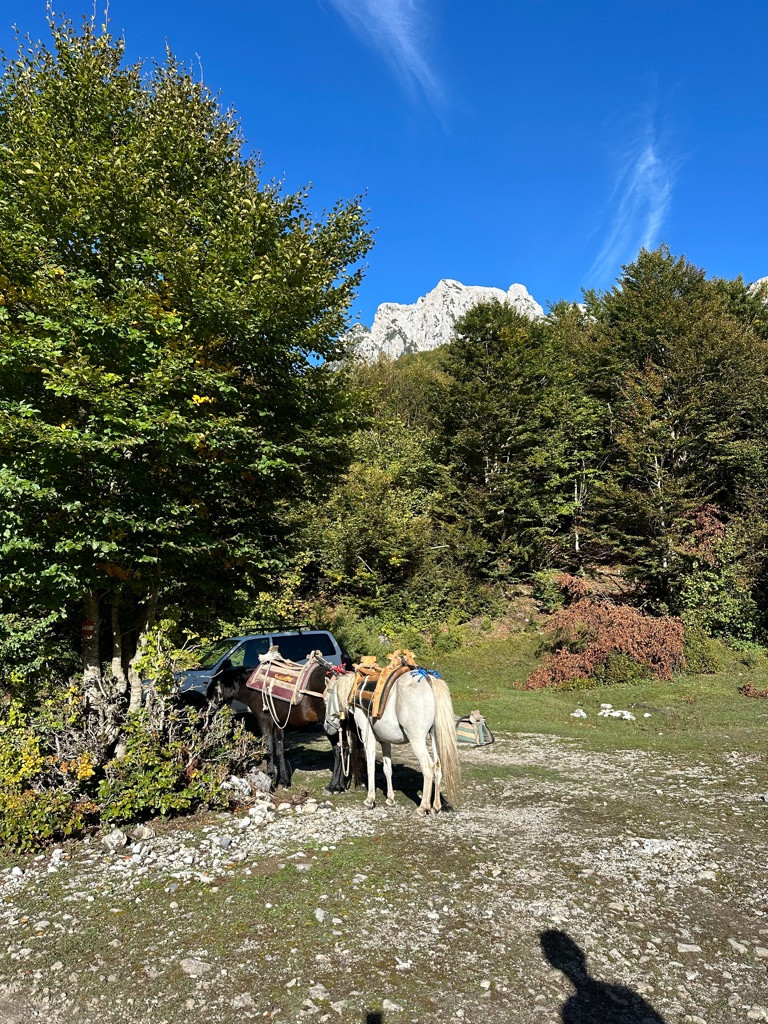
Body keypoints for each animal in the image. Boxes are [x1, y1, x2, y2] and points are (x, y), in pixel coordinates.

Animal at [215, 650, 350, 793]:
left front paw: (270, 779)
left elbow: (268, 748)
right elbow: (280, 750)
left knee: (338, 749)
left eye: (216, 686)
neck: (251, 689)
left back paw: (333, 786)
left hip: (330, 726)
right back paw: (341, 785)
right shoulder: (278, 724)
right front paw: (283, 781)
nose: (210, 705)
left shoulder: (264, 720)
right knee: (345, 748)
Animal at [331, 665, 461, 816]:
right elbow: (387, 768)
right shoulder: (386, 741)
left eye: (326, 699)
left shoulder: (368, 737)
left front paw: (370, 799)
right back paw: (436, 806)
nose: (329, 725)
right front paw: (390, 799)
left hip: (416, 738)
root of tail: (429, 679)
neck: (355, 691)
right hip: (435, 735)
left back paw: (422, 808)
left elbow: (371, 767)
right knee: (438, 766)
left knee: (428, 767)